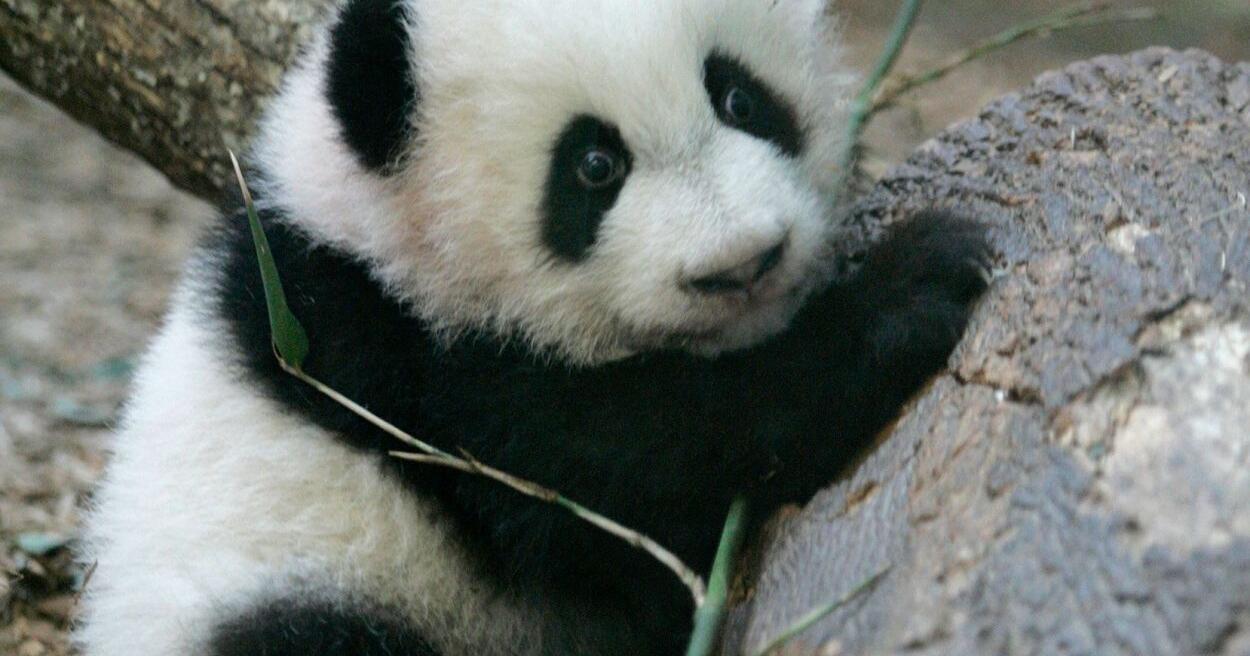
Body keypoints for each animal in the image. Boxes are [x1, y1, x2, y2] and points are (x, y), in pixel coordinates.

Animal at [76, 0, 990, 654]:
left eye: (739, 96)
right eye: (594, 166)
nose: (743, 263)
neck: (375, 232)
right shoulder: (396, 368)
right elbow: (641, 458)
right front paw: (920, 276)